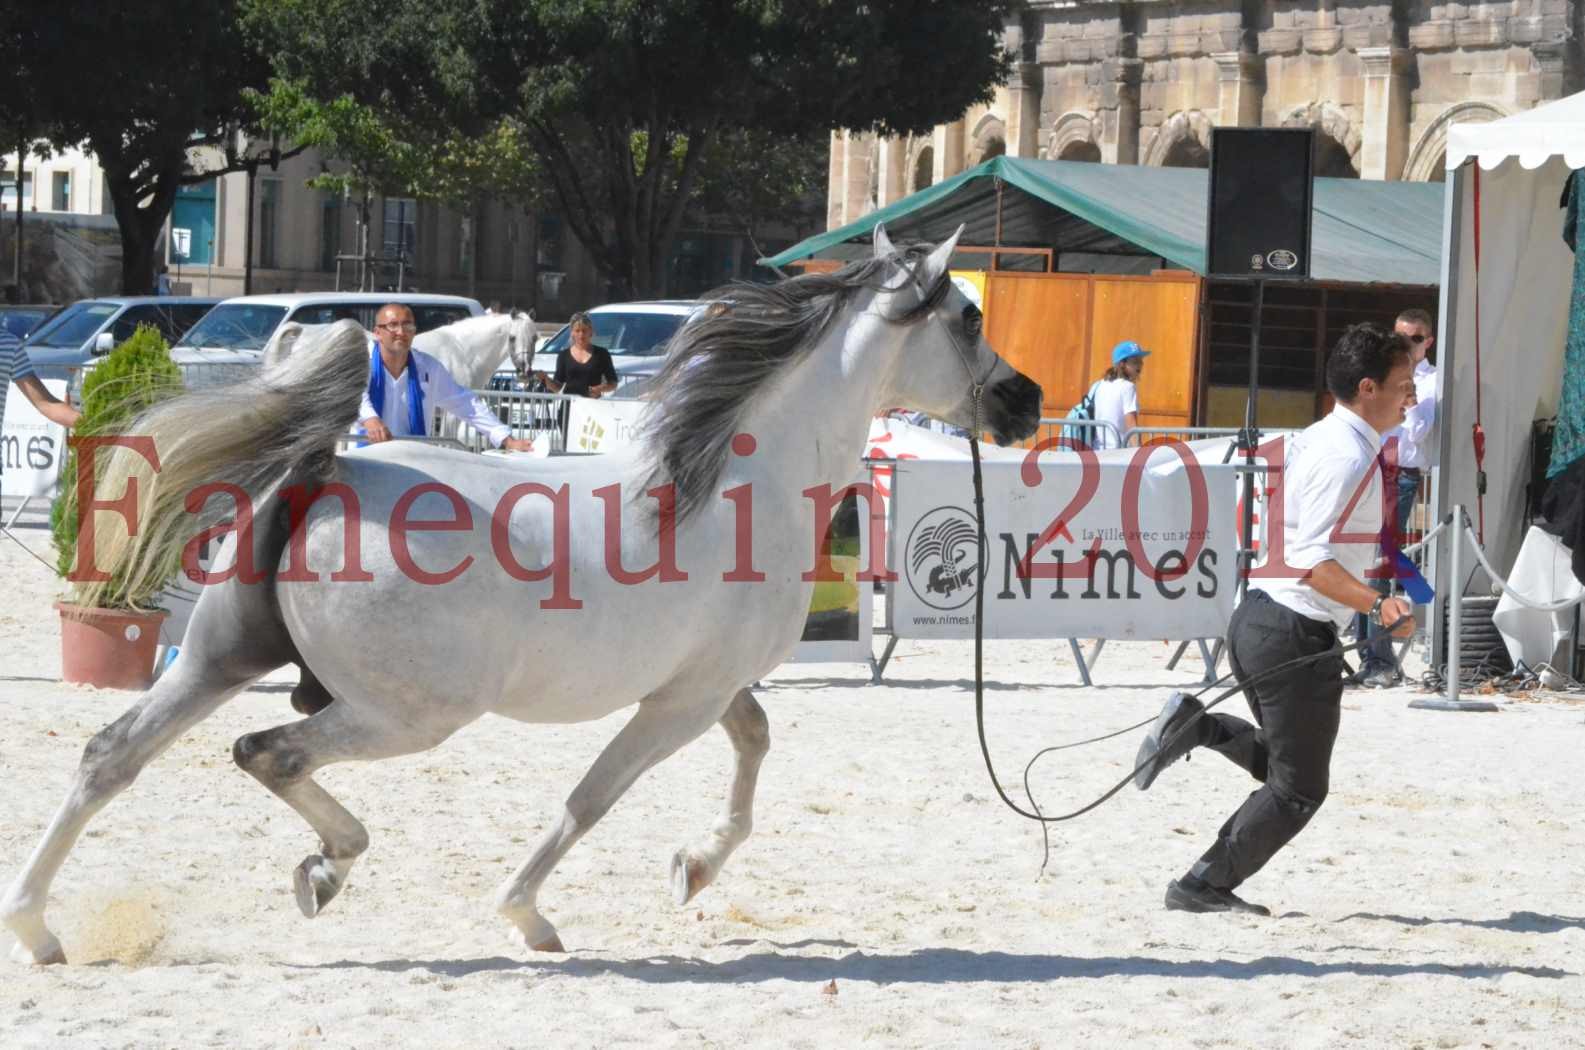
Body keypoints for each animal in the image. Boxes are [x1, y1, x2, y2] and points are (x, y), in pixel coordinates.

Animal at [6, 226, 1046, 964]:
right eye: (967, 317)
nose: (1026, 401)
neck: (733, 487)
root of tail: (325, 469)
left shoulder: (708, 688)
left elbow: (752, 750)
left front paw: (690, 870)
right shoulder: (677, 704)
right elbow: (592, 799)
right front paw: (528, 913)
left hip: (221, 659)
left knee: (110, 757)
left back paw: (42, 929)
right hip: (408, 713)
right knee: (268, 752)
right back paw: (324, 868)